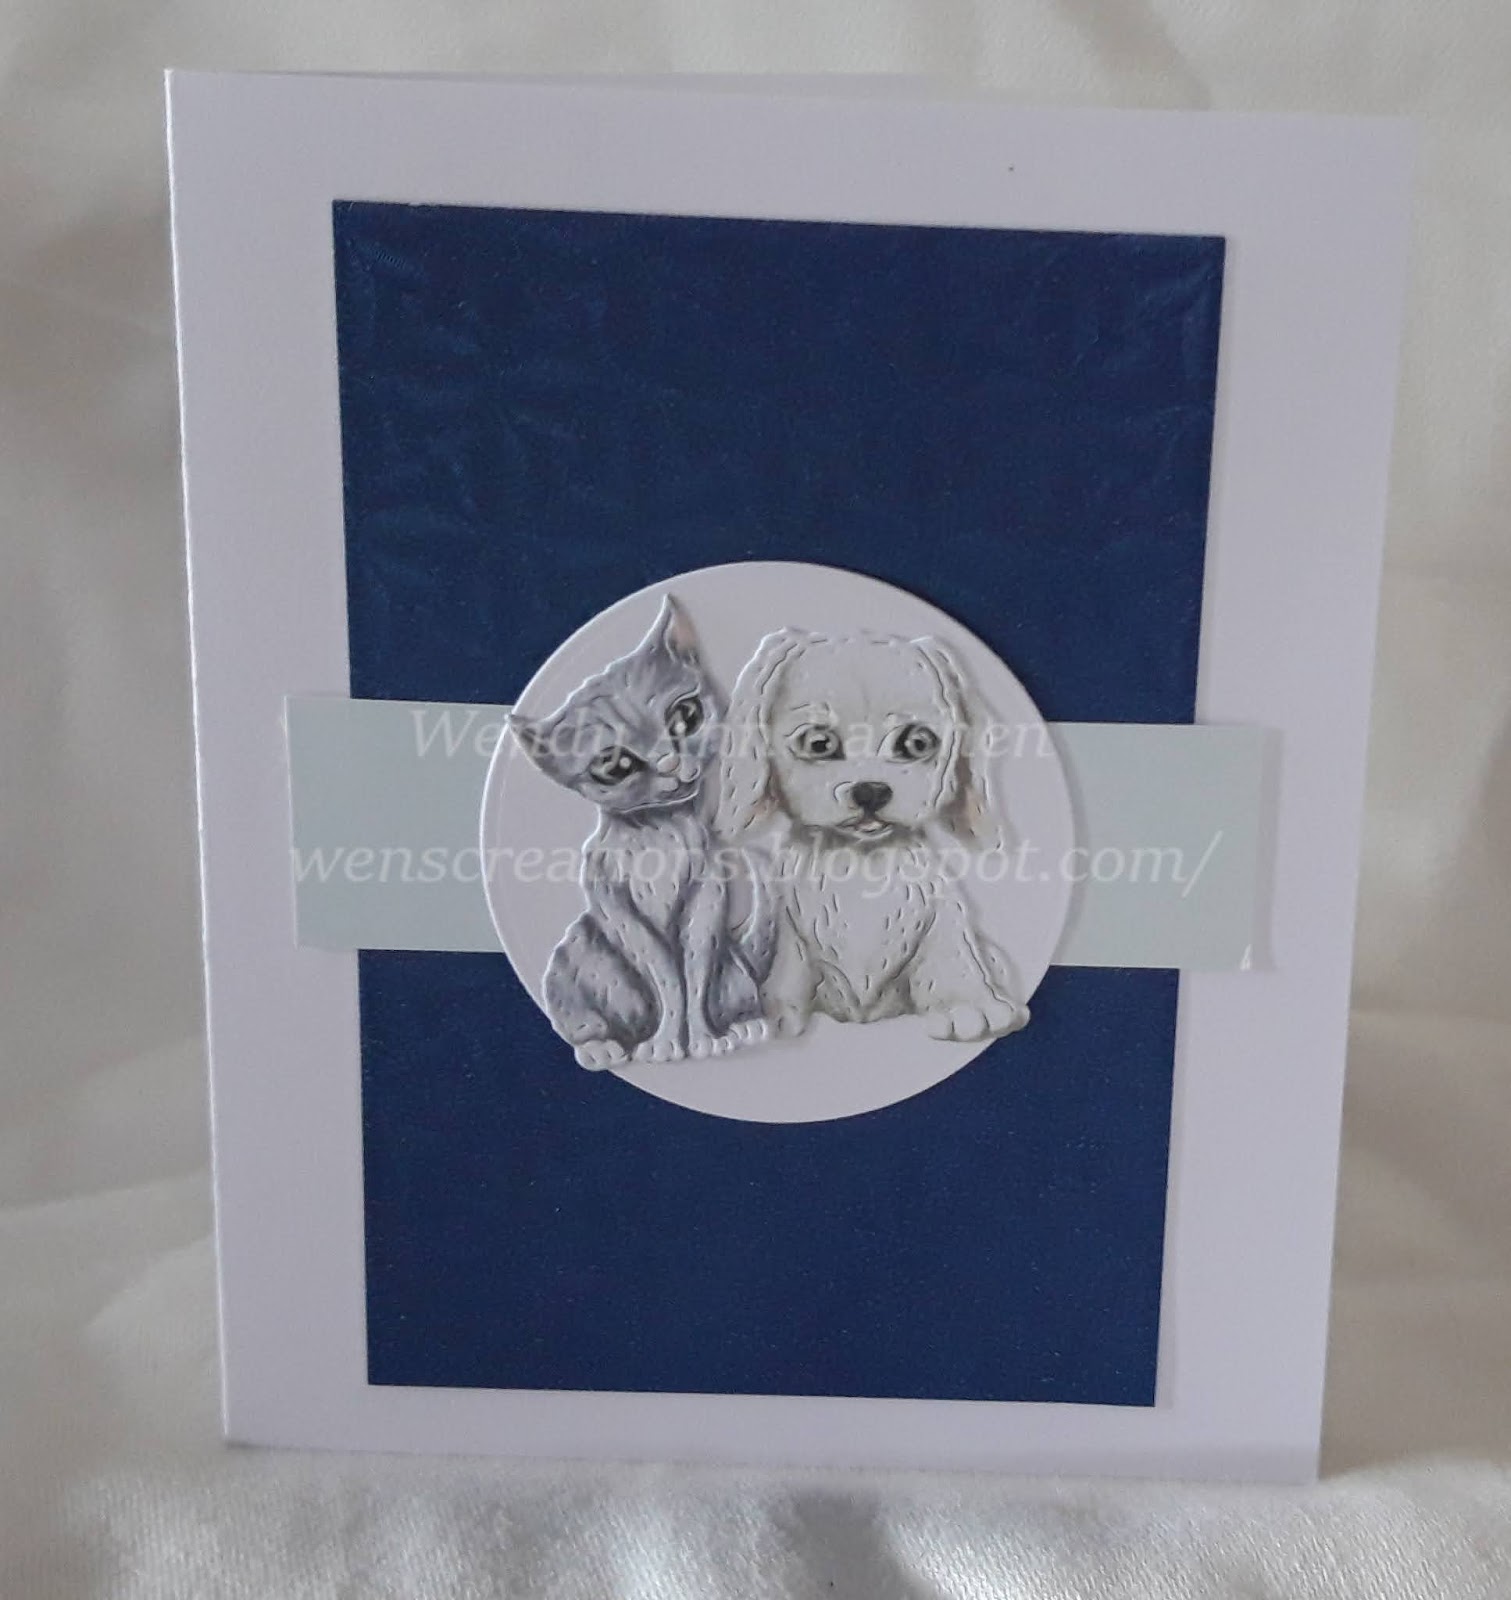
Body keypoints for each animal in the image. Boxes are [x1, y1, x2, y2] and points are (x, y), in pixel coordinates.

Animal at [508, 596, 773, 1070]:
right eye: (615, 766)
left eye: (686, 717)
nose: (669, 762)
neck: (657, 835)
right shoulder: (612, 902)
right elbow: (663, 973)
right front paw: (667, 1042)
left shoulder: (707, 894)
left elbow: (694, 969)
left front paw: (702, 1038)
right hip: (575, 957)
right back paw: (601, 1047)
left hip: (734, 970)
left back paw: (746, 1026)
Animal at [715, 628, 1028, 1044]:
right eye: (819, 743)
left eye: (916, 743)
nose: (870, 792)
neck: (859, 862)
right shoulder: (786, 927)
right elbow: (785, 958)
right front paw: (770, 1009)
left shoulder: (940, 912)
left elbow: (947, 943)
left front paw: (965, 1003)